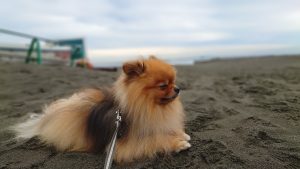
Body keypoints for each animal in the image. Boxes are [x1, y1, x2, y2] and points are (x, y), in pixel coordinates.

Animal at [13, 56, 190, 163]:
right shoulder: (127, 145)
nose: (178, 89)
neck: (150, 106)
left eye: (174, 81)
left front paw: (181, 134)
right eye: (163, 86)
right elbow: (157, 140)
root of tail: (49, 116)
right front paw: (178, 143)